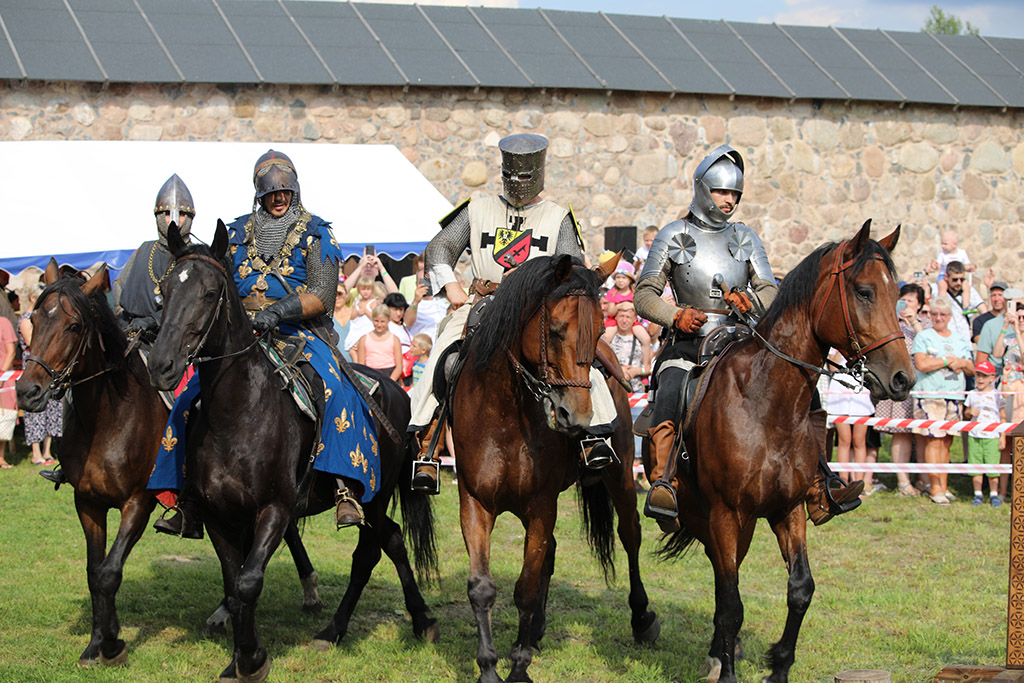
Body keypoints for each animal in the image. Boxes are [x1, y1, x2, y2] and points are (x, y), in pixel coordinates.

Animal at [16, 262, 323, 667]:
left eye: (74, 326)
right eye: (34, 319)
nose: (27, 392)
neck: (108, 417)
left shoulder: (137, 503)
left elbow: (109, 572)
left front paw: (112, 642)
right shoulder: (87, 503)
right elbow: (94, 572)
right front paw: (96, 643)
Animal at [147, 222, 436, 679]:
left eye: (209, 294)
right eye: (167, 292)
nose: (162, 366)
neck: (238, 412)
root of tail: (397, 390)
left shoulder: (276, 509)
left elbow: (248, 582)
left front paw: (252, 659)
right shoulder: (217, 515)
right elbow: (233, 585)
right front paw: (237, 659)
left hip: (374, 496)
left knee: (370, 551)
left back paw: (345, 628)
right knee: (390, 540)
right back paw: (408, 620)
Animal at [452, 254, 659, 683]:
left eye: (600, 330)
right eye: (557, 330)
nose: (575, 417)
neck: (503, 413)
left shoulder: (541, 504)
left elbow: (526, 588)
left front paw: (518, 666)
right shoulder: (475, 502)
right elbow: (482, 587)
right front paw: (489, 666)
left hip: (619, 478)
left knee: (629, 535)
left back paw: (641, 618)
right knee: (550, 553)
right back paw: (536, 631)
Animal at [659, 222, 917, 679]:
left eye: (896, 294)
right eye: (864, 291)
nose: (903, 378)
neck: (767, 403)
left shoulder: (788, 508)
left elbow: (800, 589)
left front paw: (778, 664)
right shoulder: (726, 513)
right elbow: (731, 605)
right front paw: (730, 671)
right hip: (702, 514)